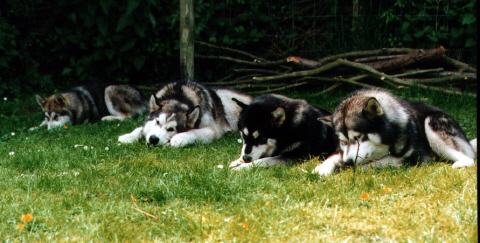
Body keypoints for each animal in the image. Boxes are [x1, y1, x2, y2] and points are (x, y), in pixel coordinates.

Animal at [117, 79, 251, 146]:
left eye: (171, 129)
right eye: (157, 122)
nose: (153, 139)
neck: (180, 98)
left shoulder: (213, 130)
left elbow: (193, 132)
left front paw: (178, 138)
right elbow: (142, 128)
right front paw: (129, 136)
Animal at [312, 88, 476, 176]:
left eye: (358, 137)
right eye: (343, 141)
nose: (348, 161)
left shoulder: (412, 158)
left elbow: (373, 164)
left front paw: (349, 168)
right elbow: (334, 157)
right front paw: (322, 167)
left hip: (431, 124)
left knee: (470, 158)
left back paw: (459, 163)